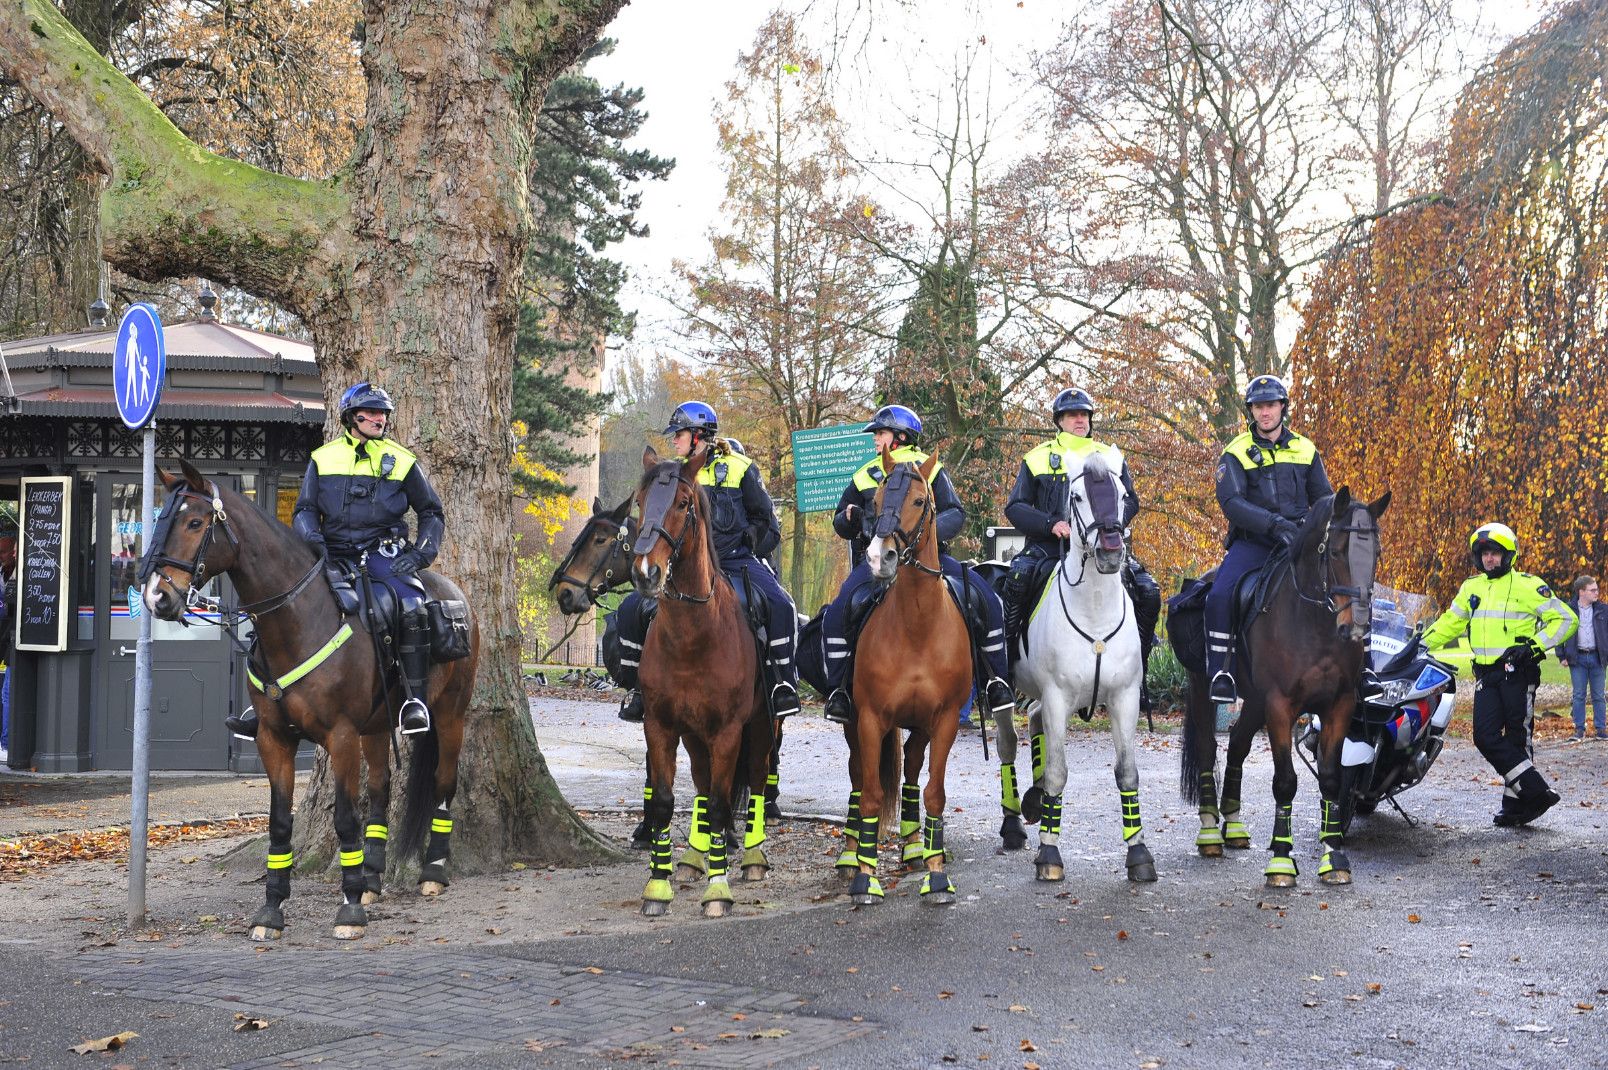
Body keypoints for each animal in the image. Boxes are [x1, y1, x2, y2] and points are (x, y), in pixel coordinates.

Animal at [144, 456, 475, 933]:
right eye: (159, 521)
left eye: (194, 522)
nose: (157, 597)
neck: (299, 620)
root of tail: (451, 591)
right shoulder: (274, 739)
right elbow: (280, 824)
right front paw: (272, 908)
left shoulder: (340, 736)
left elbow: (345, 819)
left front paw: (349, 906)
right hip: (376, 728)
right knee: (381, 790)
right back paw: (372, 878)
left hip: (450, 715)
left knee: (443, 783)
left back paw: (431, 871)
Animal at [630, 447, 775, 913]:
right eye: (640, 503)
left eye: (682, 504)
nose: (646, 572)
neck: (692, 638)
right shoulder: (659, 725)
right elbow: (664, 802)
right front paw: (658, 886)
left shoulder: (728, 731)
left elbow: (720, 806)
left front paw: (718, 889)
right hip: (694, 735)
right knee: (700, 781)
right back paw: (693, 859)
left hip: (763, 725)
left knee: (757, 780)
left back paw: (752, 859)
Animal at [849, 447, 971, 907]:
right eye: (875, 500)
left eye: (920, 501)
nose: (879, 558)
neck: (918, 626)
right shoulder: (869, 719)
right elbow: (869, 795)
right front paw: (864, 878)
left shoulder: (946, 719)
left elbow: (934, 791)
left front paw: (936, 876)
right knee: (859, 781)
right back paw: (849, 857)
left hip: (919, 727)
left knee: (914, 774)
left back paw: (916, 849)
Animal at [990, 447, 1157, 875]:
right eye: (1077, 497)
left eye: (1121, 494)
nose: (1111, 552)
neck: (1094, 610)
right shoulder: (1057, 697)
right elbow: (1057, 774)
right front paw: (1049, 853)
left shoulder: (1124, 699)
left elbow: (1127, 773)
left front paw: (1138, 853)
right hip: (1005, 692)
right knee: (1007, 744)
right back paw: (1013, 824)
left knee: (1033, 721)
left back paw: (1031, 802)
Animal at [1177, 489, 1389, 888]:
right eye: (1335, 550)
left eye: (1376, 553)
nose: (1356, 625)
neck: (1315, 625)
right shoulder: (1280, 706)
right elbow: (1285, 782)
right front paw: (1280, 861)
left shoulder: (1338, 706)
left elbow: (1331, 779)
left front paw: (1334, 857)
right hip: (1204, 691)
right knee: (1208, 748)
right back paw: (1211, 833)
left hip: (1255, 702)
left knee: (1237, 745)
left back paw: (1234, 826)